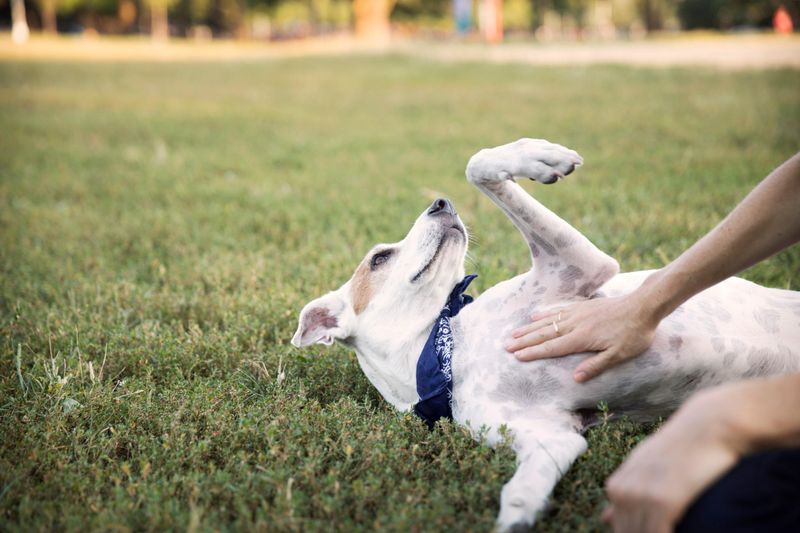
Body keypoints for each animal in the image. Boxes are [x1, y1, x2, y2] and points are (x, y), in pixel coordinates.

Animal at [292, 137, 800, 528]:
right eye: (380, 258)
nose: (440, 202)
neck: (448, 352)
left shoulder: (582, 266)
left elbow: (477, 163)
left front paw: (540, 157)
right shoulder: (551, 437)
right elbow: (521, 491)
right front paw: (516, 519)